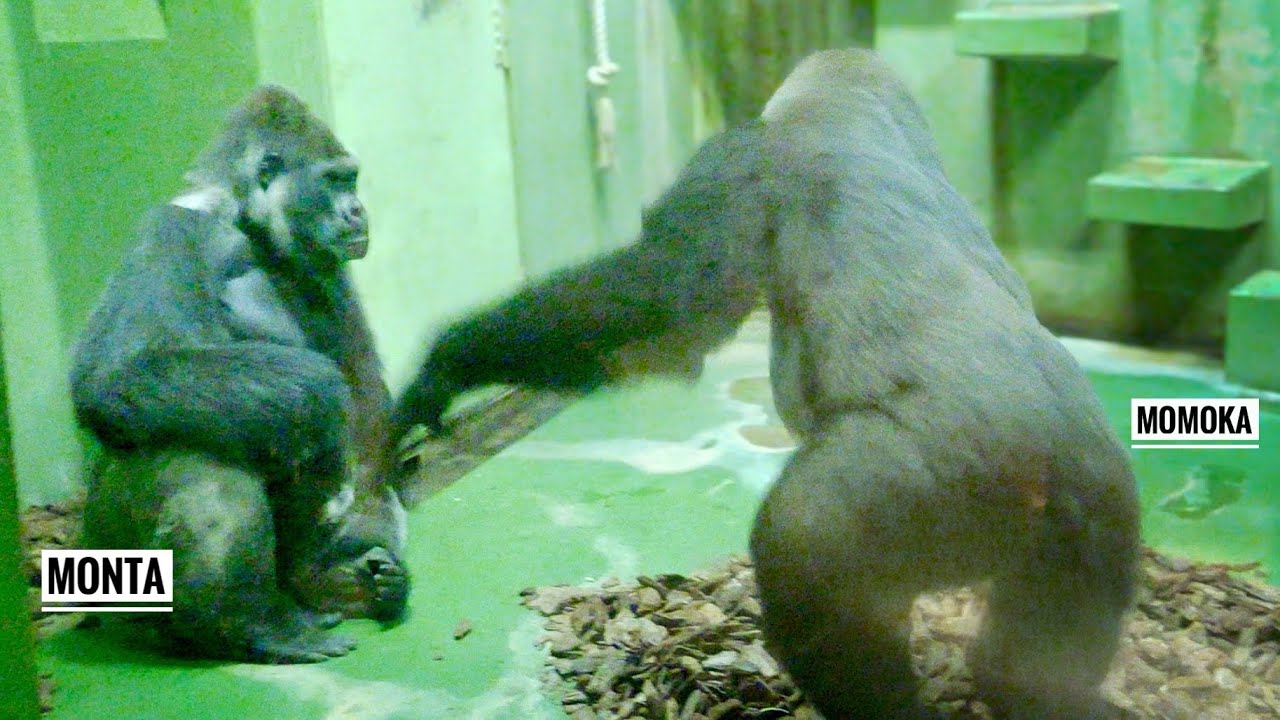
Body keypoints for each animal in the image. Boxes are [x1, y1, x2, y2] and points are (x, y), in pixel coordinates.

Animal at [70, 86, 409, 663]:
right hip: (115, 575)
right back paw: (246, 623)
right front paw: (314, 385)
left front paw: (358, 559)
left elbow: (367, 425)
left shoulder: (329, 268)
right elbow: (118, 370)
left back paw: (315, 585)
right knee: (194, 444)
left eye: (352, 179)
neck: (247, 222)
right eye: (335, 180)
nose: (358, 210)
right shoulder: (174, 226)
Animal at [392, 50, 1140, 719]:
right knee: (1032, 655)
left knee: (802, 540)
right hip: (1096, 506)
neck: (856, 115)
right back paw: (1038, 695)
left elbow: (663, 303)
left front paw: (452, 361)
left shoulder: (741, 153)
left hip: (956, 477)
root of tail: (1047, 472)